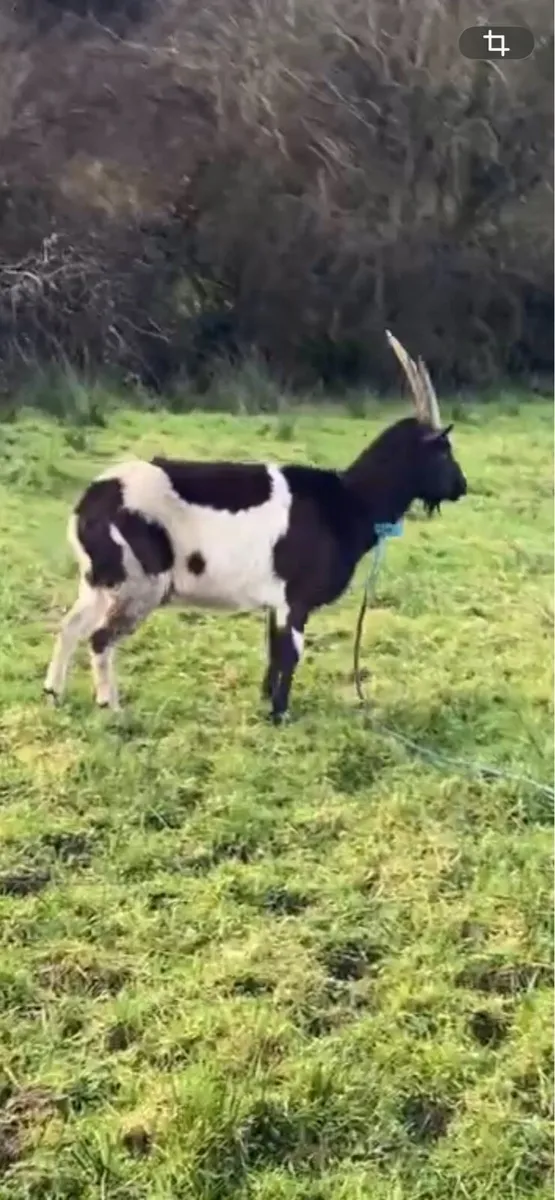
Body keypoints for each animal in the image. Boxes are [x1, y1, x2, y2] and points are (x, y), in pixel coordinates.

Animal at [44, 332, 467, 722]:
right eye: (444, 451)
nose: (462, 487)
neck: (350, 501)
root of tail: (88, 502)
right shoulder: (296, 598)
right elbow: (291, 654)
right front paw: (280, 715)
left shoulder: (276, 601)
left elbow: (273, 650)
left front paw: (267, 702)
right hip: (140, 582)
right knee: (100, 638)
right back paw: (110, 706)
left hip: (100, 578)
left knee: (70, 625)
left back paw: (54, 693)